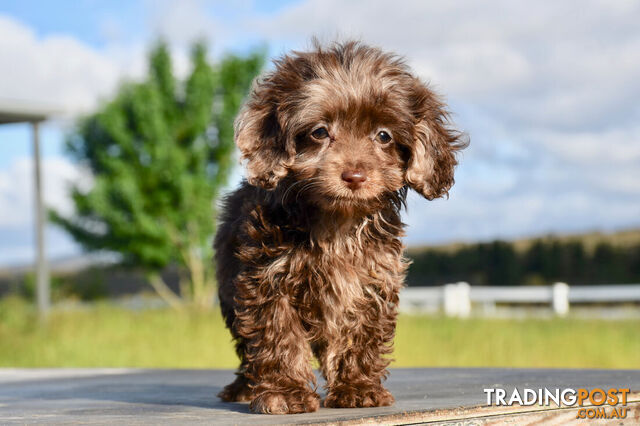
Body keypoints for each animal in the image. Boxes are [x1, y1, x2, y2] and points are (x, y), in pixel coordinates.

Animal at [215, 41, 464, 414]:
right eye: (319, 132)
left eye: (383, 136)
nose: (355, 175)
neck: (337, 220)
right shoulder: (267, 278)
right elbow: (279, 335)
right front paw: (285, 393)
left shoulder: (371, 279)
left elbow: (360, 333)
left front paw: (358, 387)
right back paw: (244, 387)